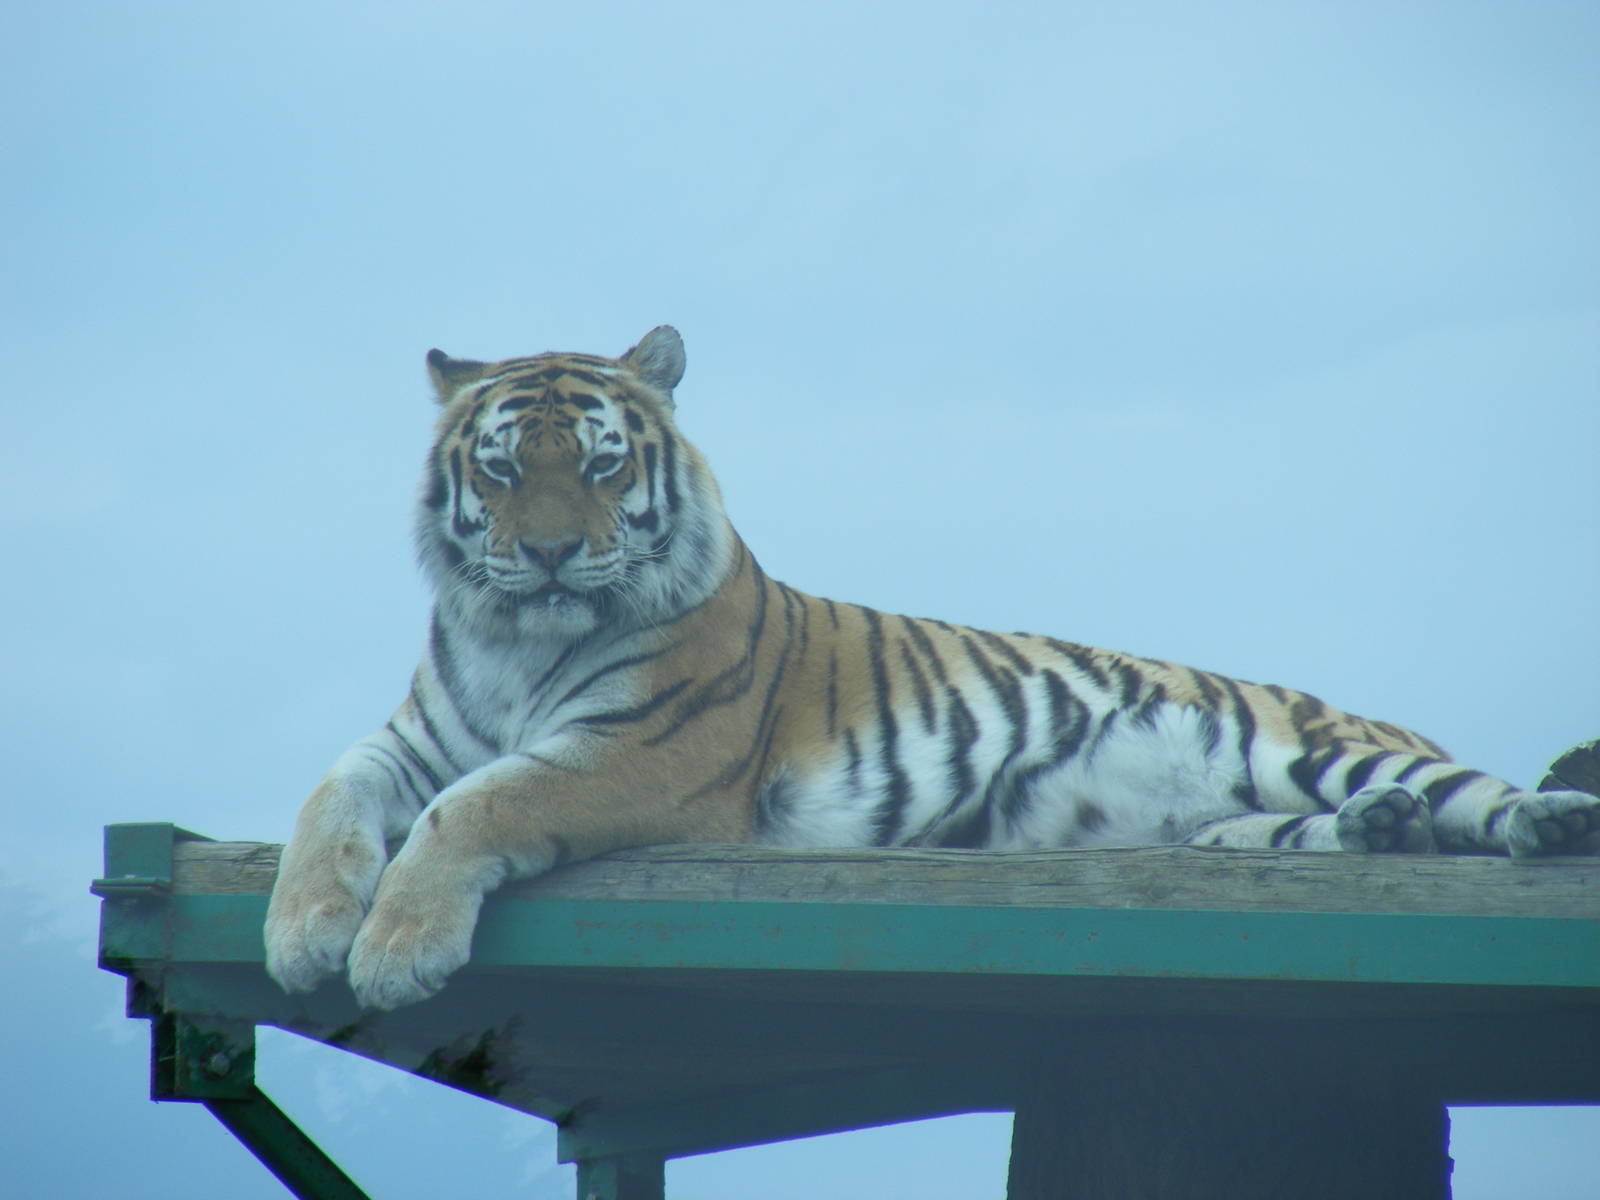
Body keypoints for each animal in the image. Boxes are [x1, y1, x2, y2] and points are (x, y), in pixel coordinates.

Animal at [264, 326, 1600, 1011]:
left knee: (1481, 801)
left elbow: (475, 807)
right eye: (499, 469)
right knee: (1311, 832)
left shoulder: (639, 752)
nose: (544, 553)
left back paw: (1542, 818)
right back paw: (1374, 833)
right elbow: (330, 796)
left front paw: (393, 951)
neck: (514, 639)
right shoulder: (411, 740)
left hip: (1313, 746)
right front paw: (307, 931)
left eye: (597, 465)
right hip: (1250, 813)